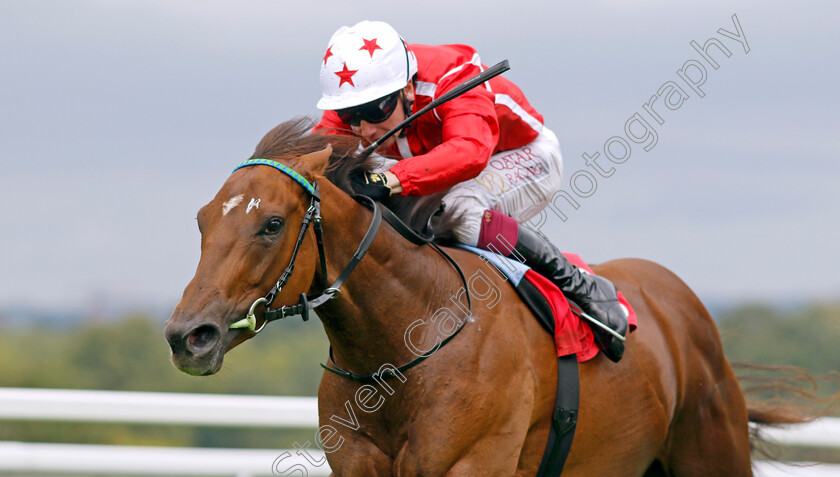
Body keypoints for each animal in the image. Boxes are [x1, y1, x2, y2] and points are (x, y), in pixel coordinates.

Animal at [164, 118, 760, 472]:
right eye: (201, 221)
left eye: (271, 224)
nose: (188, 337)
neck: (402, 346)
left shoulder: (468, 461)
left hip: (712, 449)